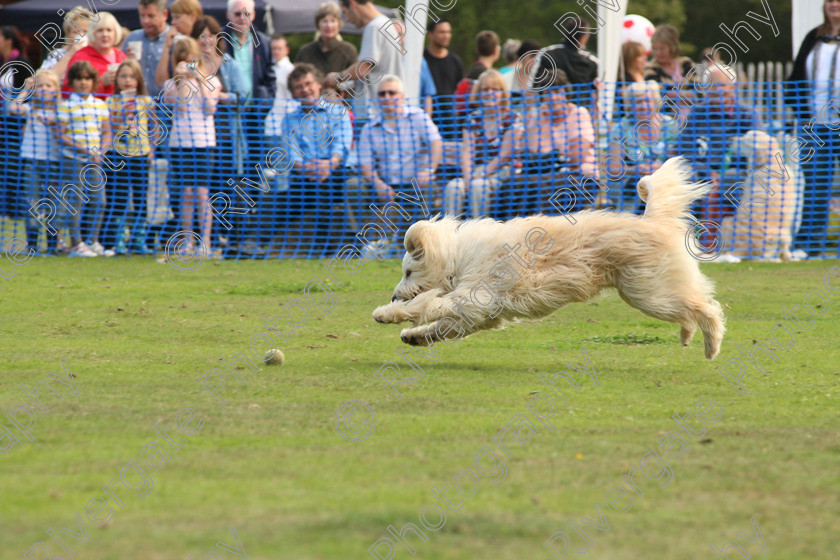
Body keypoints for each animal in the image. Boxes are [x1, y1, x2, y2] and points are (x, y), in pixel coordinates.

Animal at [370, 158, 724, 358]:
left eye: (408, 272)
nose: (393, 294)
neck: (461, 258)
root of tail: (653, 221)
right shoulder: (479, 316)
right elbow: (439, 327)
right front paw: (413, 336)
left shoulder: (476, 298)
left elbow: (426, 305)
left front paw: (388, 313)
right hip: (647, 293)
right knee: (689, 309)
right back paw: (687, 336)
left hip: (648, 293)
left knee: (705, 307)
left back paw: (711, 346)